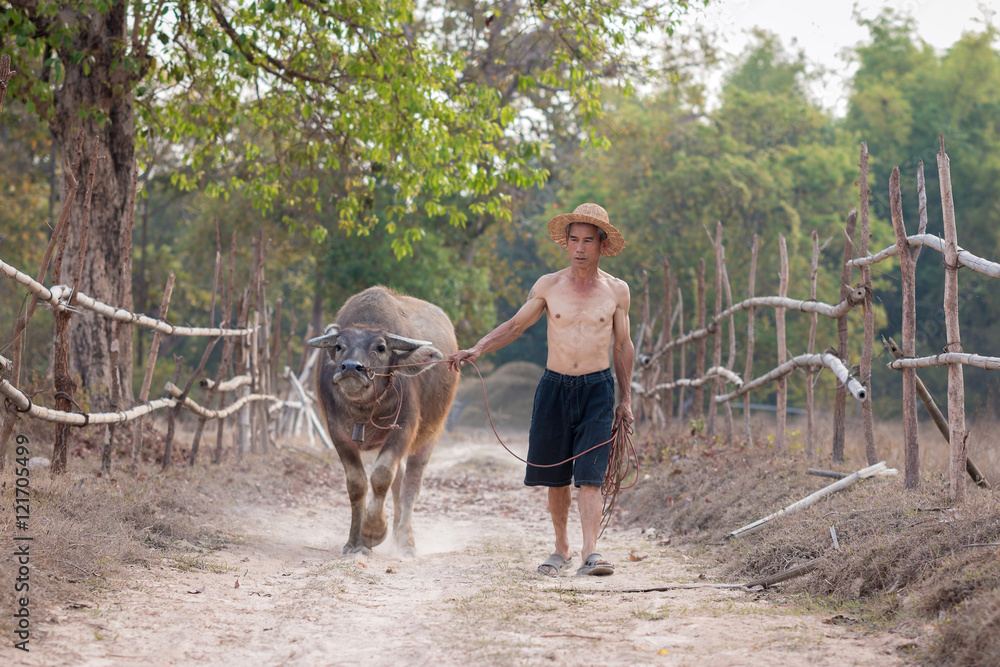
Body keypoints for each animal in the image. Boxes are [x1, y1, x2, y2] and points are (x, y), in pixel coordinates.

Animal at [310, 288, 458, 560]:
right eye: (339, 346)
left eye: (380, 347)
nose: (351, 368)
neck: (364, 408)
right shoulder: (337, 433)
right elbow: (357, 483)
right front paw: (355, 542)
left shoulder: (404, 429)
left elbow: (381, 476)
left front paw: (374, 530)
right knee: (398, 482)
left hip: (430, 436)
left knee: (410, 484)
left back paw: (406, 542)